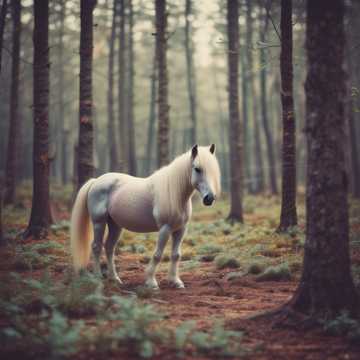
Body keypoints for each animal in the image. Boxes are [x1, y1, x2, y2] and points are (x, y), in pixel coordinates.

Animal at [69, 145, 221, 288]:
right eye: (197, 169)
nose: (209, 198)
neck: (175, 194)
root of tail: (95, 181)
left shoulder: (180, 229)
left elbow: (176, 255)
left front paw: (176, 281)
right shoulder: (165, 229)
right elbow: (158, 255)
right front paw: (151, 282)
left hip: (115, 225)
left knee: (109, 247)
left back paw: (115, 279)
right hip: (98, 222)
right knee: (96, 246)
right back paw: (98, 278)